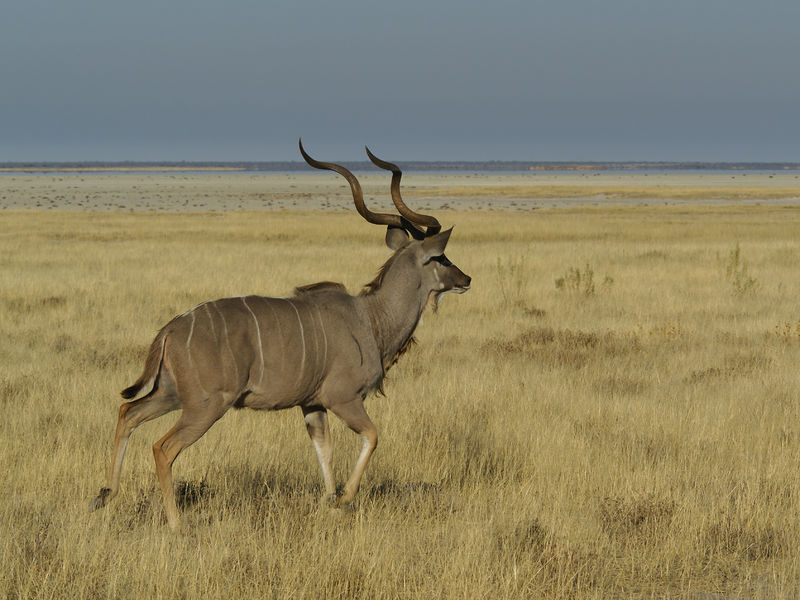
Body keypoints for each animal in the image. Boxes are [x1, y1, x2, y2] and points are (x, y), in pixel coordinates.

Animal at [90, 138, 472, 528]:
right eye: (441, 258)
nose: (466, 278)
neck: (370, 318)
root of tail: (169, 329)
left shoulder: (312, 404)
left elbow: (324, 450)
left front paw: (328, 501)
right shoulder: (343, 399)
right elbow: (372, 436)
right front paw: (344, 498)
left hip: (171, 395)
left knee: (128, 412)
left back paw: (105, 495)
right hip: (206, 406)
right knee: (163, 447)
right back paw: (175, 523)